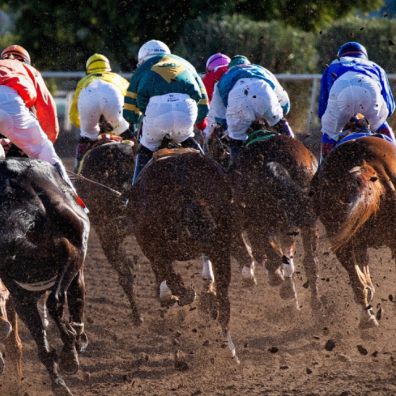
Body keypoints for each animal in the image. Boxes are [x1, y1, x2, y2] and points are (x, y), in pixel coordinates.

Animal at [128, 148, 238, 362]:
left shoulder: (154, 252)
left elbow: (167, 280)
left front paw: (173, 295)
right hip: (220, 247)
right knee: (224, 301)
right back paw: (229, 349)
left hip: (154, 246)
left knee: (171, 278)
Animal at [232, 135, 322, 314]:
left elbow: (265, 254)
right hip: (307, 219)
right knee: (310, 261)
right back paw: (317, 306)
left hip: (260, 221)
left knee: (271, 255)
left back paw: (281, 285)